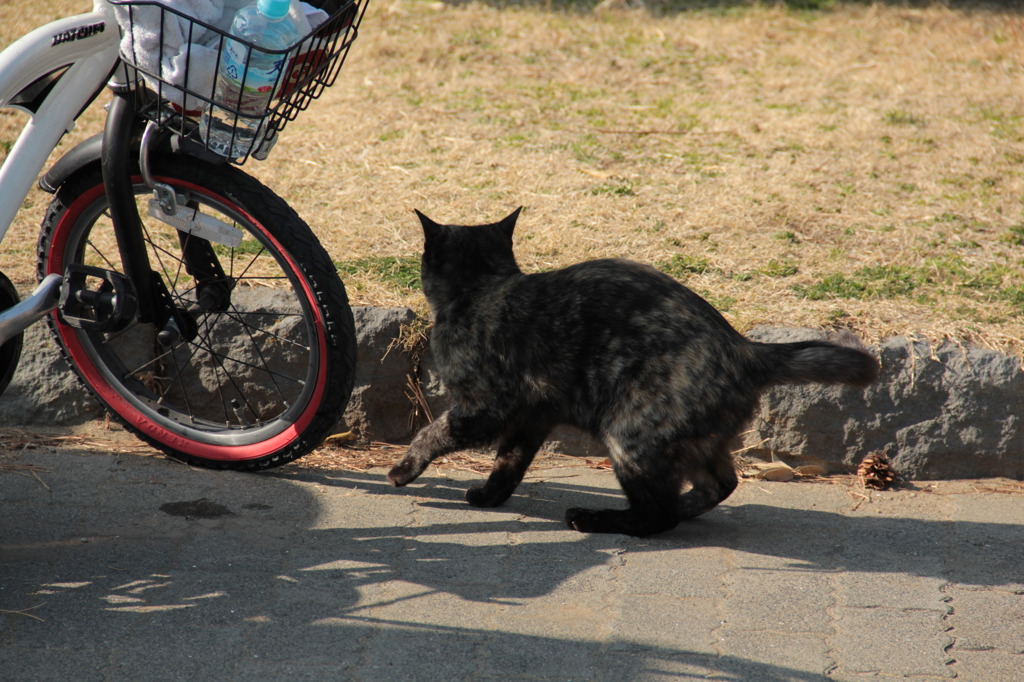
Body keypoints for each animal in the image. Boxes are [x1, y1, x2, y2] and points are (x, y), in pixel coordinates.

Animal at [387, 208, 876, 536]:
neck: (480, 289)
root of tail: (744, 347)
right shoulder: (532, 416)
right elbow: (510, 461)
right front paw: (490, 497)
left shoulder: (482, 408)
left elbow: (432, 432)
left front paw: (404, 470)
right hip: (696, 439)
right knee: (718, 484)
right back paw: (684, 507)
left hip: (630, 435)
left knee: (655, 517)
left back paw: (592, 518)